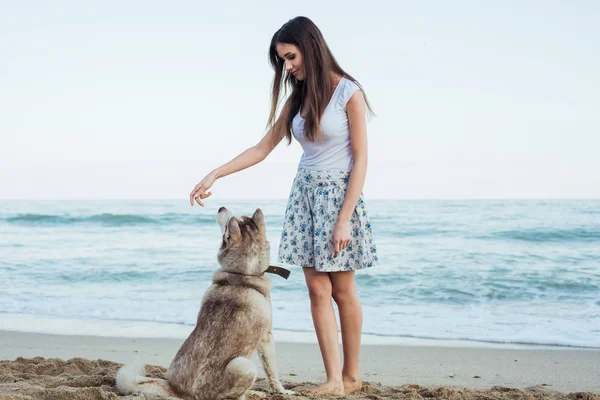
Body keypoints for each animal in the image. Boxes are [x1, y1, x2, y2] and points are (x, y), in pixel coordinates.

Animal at [116, 208, 292, 398]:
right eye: (228, 226)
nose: (221, 208)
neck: (242, 276)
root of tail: (177, 390)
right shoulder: (267, 338)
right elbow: (272, 372)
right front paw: (282, 391)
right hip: (243, 366)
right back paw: (254, 394)